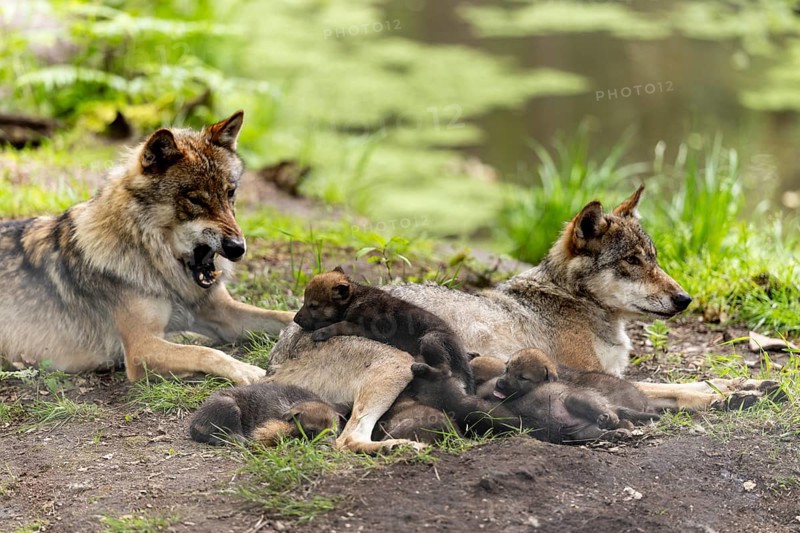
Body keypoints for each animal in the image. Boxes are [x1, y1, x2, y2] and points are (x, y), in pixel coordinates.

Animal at [0, 111, 294, 384]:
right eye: (195, 200)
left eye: (229, 193)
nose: (237, 248)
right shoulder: (140, 348)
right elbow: (207, 353)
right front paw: (249, 371)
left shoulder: (222, 313)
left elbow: (282, 315)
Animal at [269, 185, 778, 442]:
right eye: (631, 262)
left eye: (653, 258)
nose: (685, 299)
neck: (576, 303)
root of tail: (275, 361)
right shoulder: (591, 375)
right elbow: (678, 389)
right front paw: (740, 391)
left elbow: (689, 385)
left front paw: (744, 386)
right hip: (395, 364)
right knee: (349, 440)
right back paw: (402, 446)